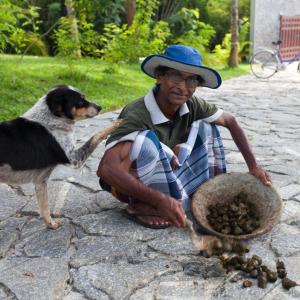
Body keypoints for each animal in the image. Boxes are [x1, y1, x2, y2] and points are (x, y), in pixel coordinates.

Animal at [0, 85, 121, 229]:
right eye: (80, 100)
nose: (100, 107)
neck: (52, 120)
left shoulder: (40, 181)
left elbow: (44, 207)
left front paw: (50, 225)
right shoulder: (75, 159)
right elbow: (96, 135)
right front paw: (115, 124)